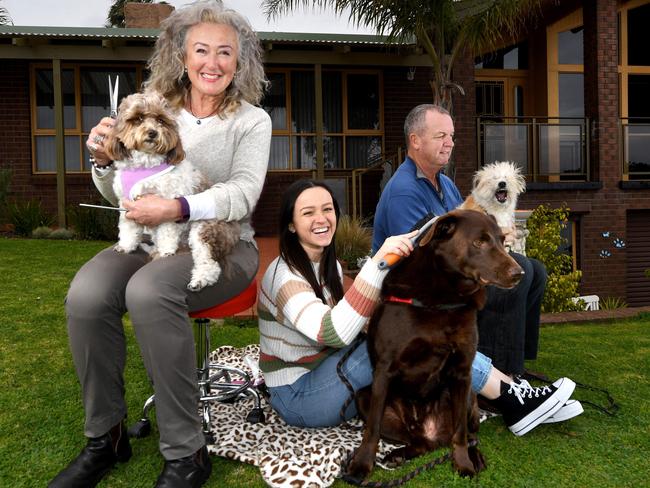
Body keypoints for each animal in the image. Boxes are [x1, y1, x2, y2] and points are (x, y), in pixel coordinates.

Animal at [105, 90, 239, 290]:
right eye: (138, 118)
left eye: (161, 120)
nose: (152, 133)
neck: (145, 164)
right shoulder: (126, 204)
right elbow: (128, 228)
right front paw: (126, 246)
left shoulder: (166, 203)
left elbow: (166, 230)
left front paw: (166, 251)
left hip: (204, 229)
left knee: (208, 262)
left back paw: (199, 279)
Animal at [344, 209, 520, 480]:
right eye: (479, 241)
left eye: (502, 240)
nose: (519, 273)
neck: (442, 297)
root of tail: (429, 430)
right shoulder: (383, 370)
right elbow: (371, 429)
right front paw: (362, 464)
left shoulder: (462, 372)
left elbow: (460, 434)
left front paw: (463, 463)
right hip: (364, 397)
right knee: (420, 443)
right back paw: (398, 454)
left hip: (468, 396)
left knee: (468, 434)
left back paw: (474, 456)